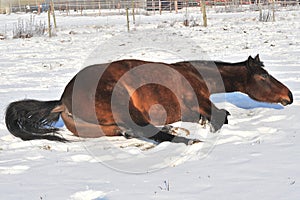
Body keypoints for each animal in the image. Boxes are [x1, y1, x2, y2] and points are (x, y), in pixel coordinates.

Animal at [5, 54, 292, 145]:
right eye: (264, 76)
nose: (289, 95)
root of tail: (63, 100)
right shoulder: (201, 102)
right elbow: (222, 116)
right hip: (124, 106)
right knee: (147, 132)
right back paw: (187, 139)